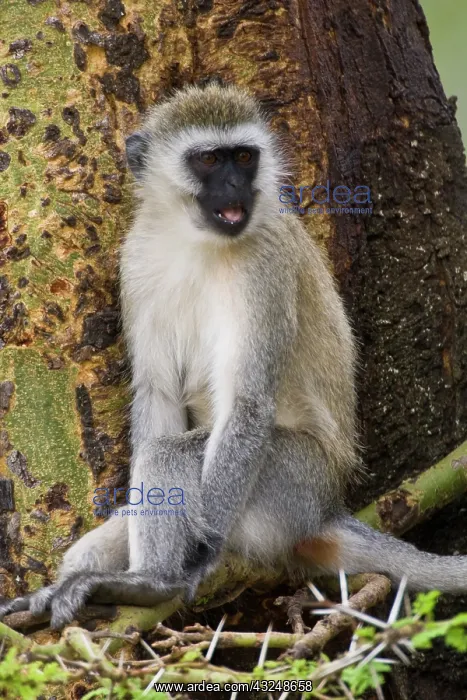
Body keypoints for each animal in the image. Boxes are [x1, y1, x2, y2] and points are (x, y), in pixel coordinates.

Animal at [2, 82, 467, 630]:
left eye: (244, 157)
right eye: (209, 159)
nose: (233, 185)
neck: (195, 240)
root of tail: (326, 507)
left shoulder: (262, 264)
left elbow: (246, 403)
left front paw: (195, 558)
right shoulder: (136, 260)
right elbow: (158, 391)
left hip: (290, 484)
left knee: (173, 455)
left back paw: (152, 582)